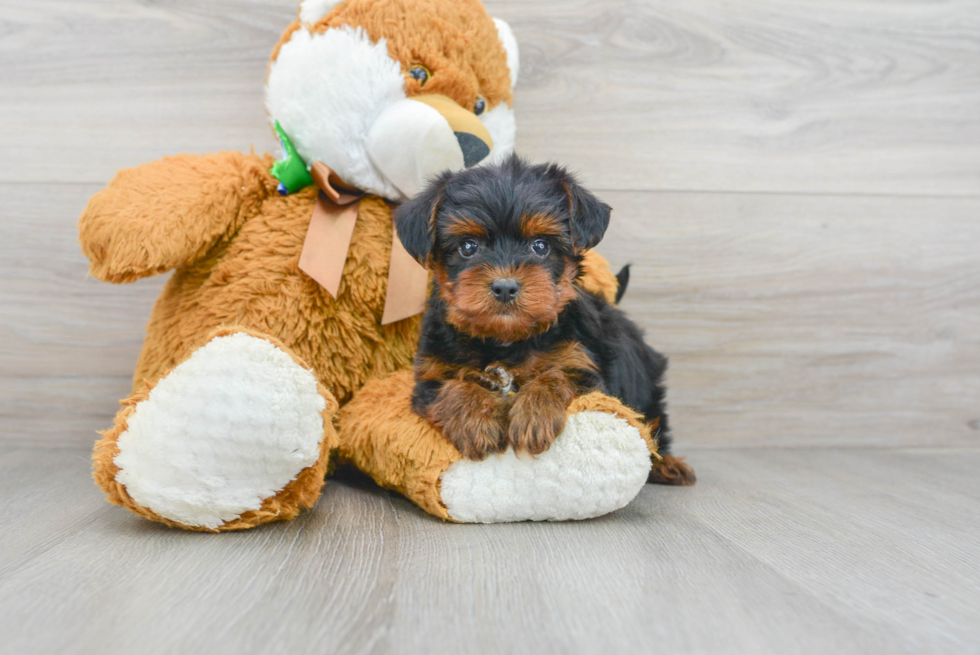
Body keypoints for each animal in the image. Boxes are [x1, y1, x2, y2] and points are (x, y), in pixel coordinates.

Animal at [394, 154, 692, 484]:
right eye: (468, 247)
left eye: (540, 246)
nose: (505, 286)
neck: (506, 340)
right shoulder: (430, 377)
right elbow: (452, 387)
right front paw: (475, 418)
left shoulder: (584, 367)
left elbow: (557, 376)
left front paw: (533, 415)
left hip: (647, 383)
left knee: (654, 419)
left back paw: (667, 463)